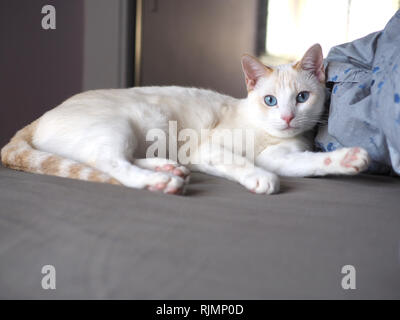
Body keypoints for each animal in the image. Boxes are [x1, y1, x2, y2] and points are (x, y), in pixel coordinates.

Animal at [0, 44, 368, 195]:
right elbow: (241, 163)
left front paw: (347, 159)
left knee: (114, 159)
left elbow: (308, 164)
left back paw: (169, 168)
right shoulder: (207, 149)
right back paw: (160, 181)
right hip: (122, 125)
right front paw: (259, 178)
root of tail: (38, 118)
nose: (288, 116)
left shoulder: (281, 158)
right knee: (107, 162)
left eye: (302, 98)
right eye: (270, 101)